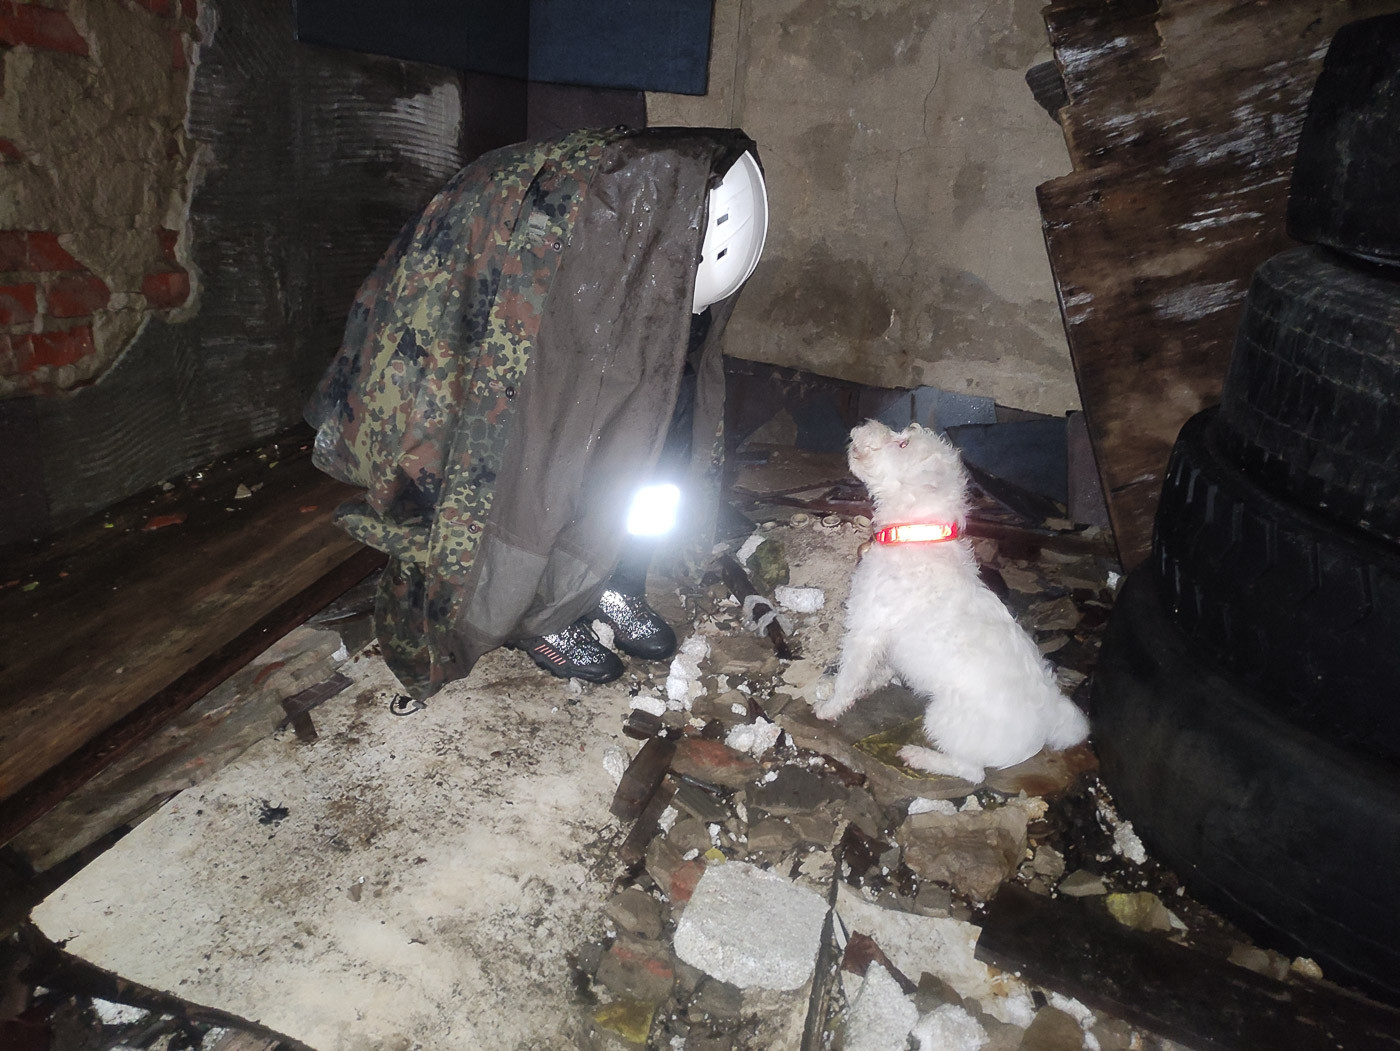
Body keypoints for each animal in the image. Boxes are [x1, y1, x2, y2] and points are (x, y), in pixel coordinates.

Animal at [811, 420, 1089, 783]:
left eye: (903, 445)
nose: (860, 426)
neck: (916, 532)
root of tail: (1049, 721)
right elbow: (878, 669)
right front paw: (875, 682)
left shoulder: (865, 628)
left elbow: (849, 677)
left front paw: (830, 706)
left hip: (940, 717)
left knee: (973, 772)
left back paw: (919, 756)